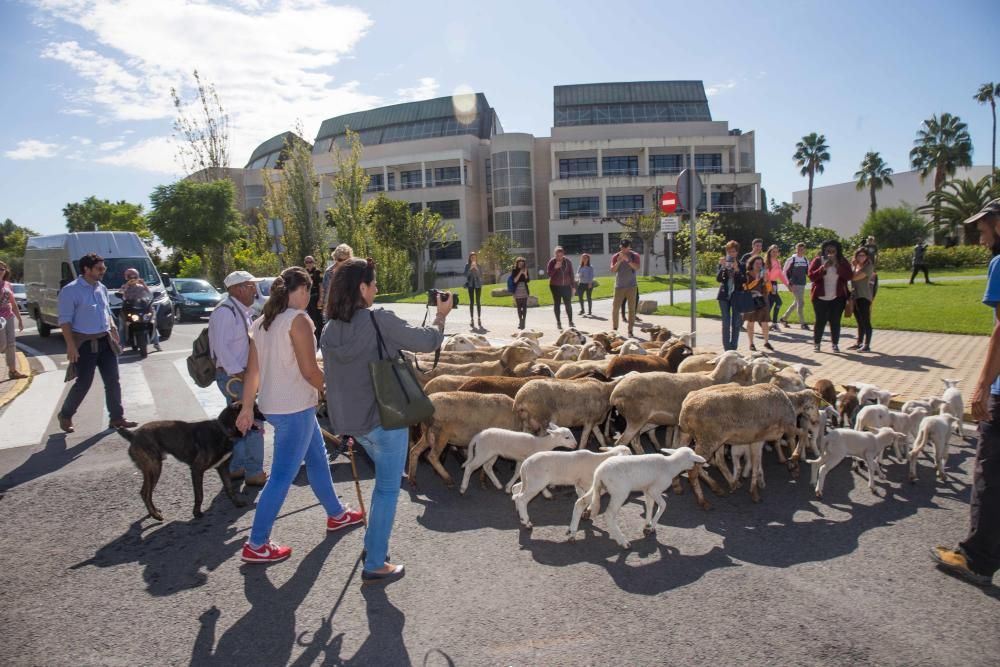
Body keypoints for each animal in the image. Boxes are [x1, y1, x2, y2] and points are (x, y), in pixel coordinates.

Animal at [117, 402, 264, 520]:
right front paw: (196, 513)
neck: (223, 430)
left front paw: (237, 503)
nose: (265, 416)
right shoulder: (197, 470)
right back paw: (155, 515)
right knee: (145, 492)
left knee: (146, 492)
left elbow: (229, 488)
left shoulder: (223, 467)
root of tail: (133, 434)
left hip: (153, 469)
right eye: (255, 409)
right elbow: (200, 494)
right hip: (154, 468)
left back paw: (153, 511)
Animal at [568, 446, 708, 552]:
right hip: (620, 492)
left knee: (580, 502)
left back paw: (572, 534)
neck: (671, 465)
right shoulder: (655, 489)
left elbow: (650, 505)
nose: (699, 466)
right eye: (695, 461)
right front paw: (651, 528)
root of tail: (599, 472)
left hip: (599, 487)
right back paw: (623, 542)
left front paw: (647, 525)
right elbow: (663, 505)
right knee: (608, 515)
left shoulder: (647, 489)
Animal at [604, 350, 748, 454]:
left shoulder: (677, 424)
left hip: (646, 420)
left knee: (634, 442)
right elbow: (680, 444)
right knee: (622, 442)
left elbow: (676, 443)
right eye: (738, 357)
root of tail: (614, 394)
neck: (713, 378)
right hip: (636, 418)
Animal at [672, 384, 804, 508]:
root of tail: (685, 409)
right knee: (693, 470)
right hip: (708, 440)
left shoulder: (758, 439)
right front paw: (794, 460)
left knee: (698, 458)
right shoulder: (787, 425)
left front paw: (754, 493)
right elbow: (802, 434)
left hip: (692, 435)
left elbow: (756, 463)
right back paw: (704, 501)